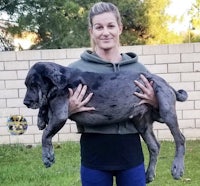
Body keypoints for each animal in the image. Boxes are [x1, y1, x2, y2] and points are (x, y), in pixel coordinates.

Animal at [23, 62, 188, 183]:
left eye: (34, 84)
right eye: (27, 85)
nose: (26, 102)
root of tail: (165, 82)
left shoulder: (60, 115)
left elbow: (45, 135)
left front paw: (47, 157)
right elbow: (44, 113)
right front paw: (41, 118)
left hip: (166, 112)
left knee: (180, 139)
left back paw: (177, 168)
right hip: (142, 123)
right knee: (155, 146)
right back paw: (149, 174)